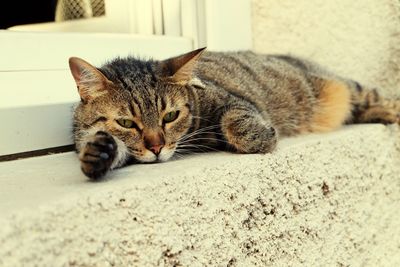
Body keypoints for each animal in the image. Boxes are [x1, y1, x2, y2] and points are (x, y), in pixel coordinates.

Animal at [69, 48, 400, 180]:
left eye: (170, 116)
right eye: (126, 123)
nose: (156, 147)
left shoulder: (233, 101)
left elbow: (233, 120)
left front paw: (261, 135)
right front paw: (98, 154)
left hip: (347, 88)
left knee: (374, 96)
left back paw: (389, 109)